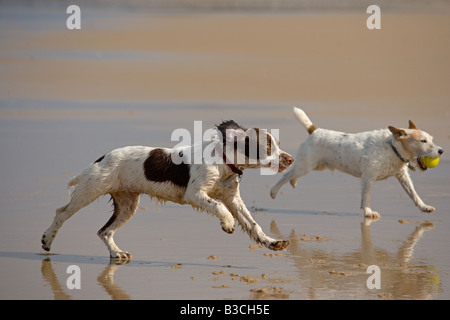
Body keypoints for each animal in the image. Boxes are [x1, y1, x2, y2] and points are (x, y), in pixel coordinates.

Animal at [41, 120, 296, 260]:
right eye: (268, 146)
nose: (290, 159)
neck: (223, 163)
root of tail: (101, 157)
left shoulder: (233, 198)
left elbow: (253, 224)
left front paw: (272, 243)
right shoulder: (195, 193)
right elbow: (219, 206)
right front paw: (228, 223)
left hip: (127, 205)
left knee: (104, 231)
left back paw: (116, 253)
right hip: (90, 188)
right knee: (61, 212)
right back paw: (47, 240)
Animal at [270, 107, 442, 218]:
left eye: (431, 139)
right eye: (423, 141)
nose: (441, 151)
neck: (392, 147)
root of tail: (315, 130)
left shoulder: (403, 177)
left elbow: (414, 194)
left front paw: (424, 207)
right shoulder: (368, 178)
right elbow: (366, 197)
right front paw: (368, 212)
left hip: (317, 167)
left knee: (292, 174)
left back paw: (293, 182)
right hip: (306, 166)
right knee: (286, 174)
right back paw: (273, 191)